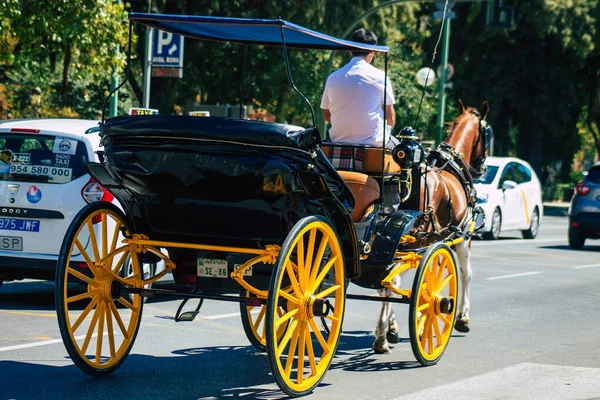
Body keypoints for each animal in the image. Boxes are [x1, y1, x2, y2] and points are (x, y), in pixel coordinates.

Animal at [372, 100, 490, 354]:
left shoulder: (431, 242)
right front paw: (462, 318)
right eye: (488, 133)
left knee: (386, 281)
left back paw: (386, 331)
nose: (484, 168)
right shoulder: (462, 237)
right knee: (389, 282)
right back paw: (382, 336)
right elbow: (465, 274)